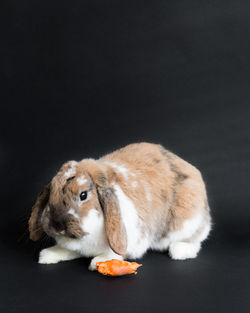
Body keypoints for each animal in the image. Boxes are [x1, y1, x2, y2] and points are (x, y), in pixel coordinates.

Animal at [28, 143, 211, 270]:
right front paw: (48, 255)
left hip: (187, 223)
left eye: (83, 195)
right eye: (52, 192)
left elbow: (112, 253)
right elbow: (68, 250)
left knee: (196, 240)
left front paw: (98, 262)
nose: (57, 225)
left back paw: (180, 250)